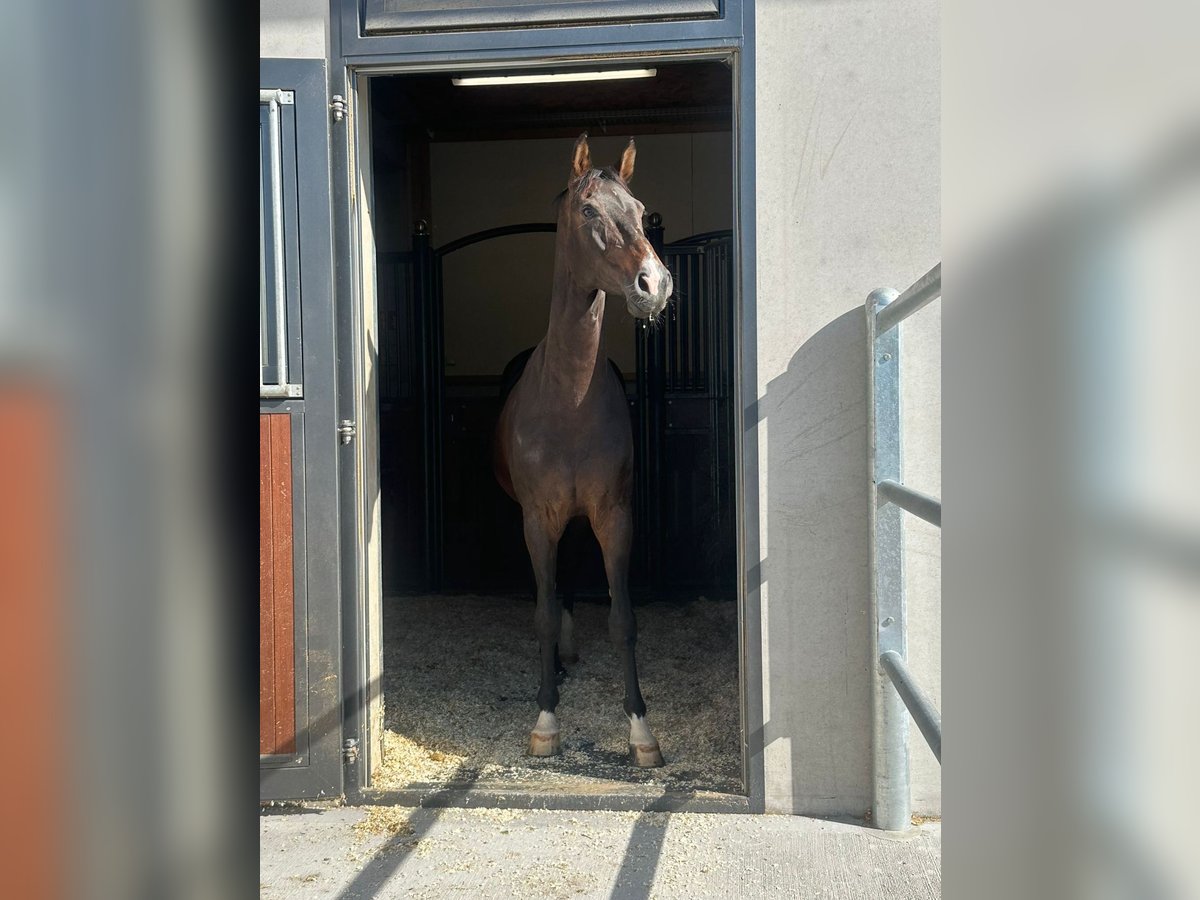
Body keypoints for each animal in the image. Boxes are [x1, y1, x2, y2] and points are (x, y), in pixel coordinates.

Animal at [489, 133, 676, 768]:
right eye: (590, 210)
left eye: (640, 209)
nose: (654, 285)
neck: (567, 401)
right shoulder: (536, 518)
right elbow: (543, 615)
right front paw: (546, 721)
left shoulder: (613, 516)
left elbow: (623, 619)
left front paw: (641, 730)